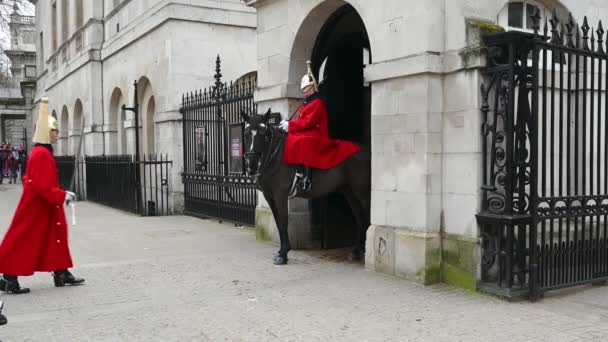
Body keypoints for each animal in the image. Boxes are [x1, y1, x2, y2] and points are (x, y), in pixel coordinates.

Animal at [241, 109, 370, 264]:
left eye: (262, 133)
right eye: (246, 134)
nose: (251, 165)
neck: (275, 156)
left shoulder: (280, 195)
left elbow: (283, 221)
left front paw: (283, 254)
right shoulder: (269, 196)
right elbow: (277, 221)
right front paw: (281, 251)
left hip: (362, 193)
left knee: (366, 217)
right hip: (350, 192)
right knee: (360, 219)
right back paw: (356, 251)